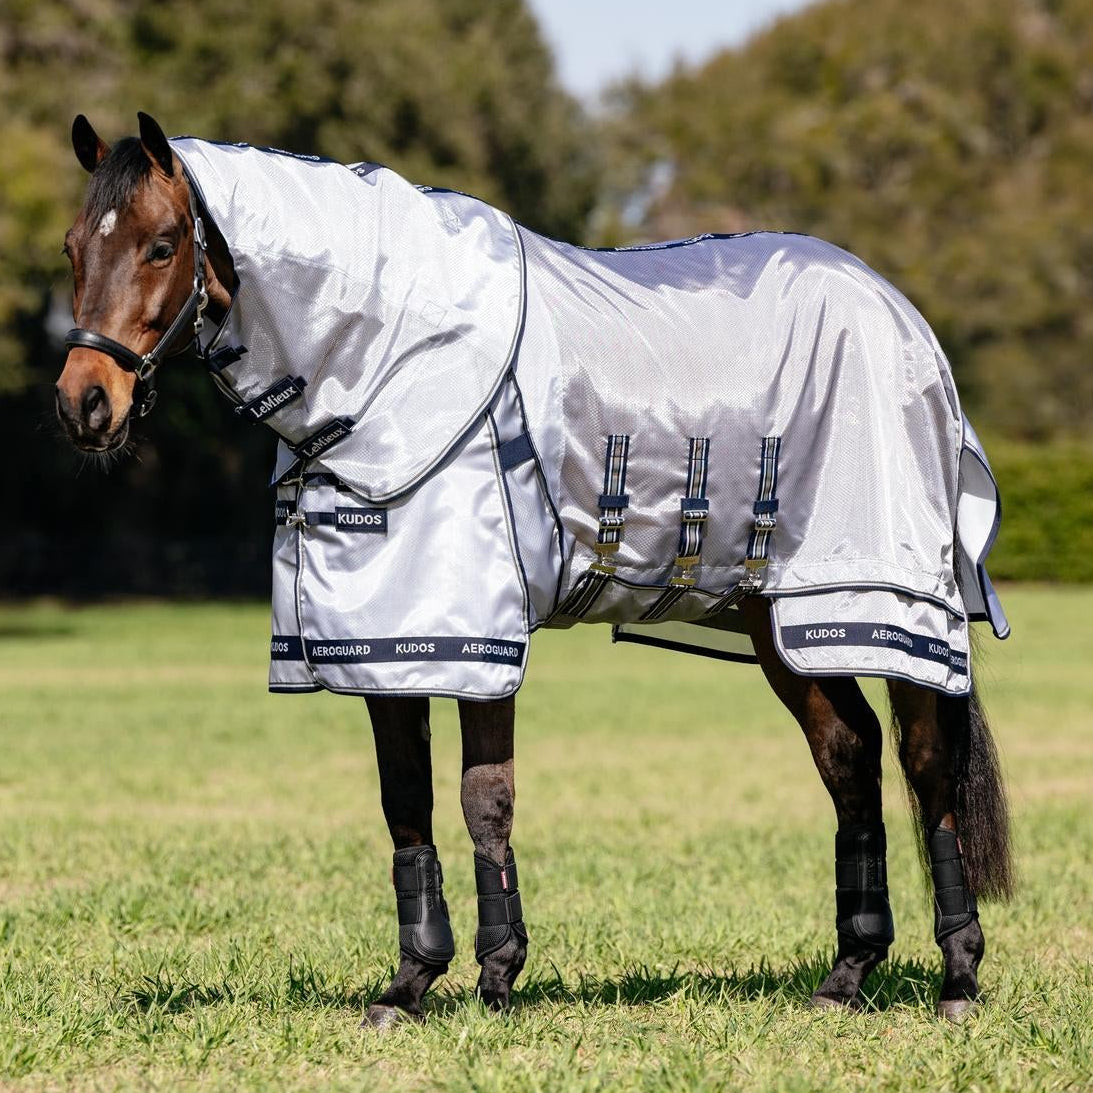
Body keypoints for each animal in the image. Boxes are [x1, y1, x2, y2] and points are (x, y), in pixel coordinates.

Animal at [55, 112, 1013, 1028]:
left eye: (162, 244)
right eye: (72, 246)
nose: (84, 404)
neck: (390, 353)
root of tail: (899, 313)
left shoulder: (474, 634)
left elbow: (484, 796)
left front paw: (492, 976)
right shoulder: (385, 639)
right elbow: (405, 799)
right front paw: (412, 982)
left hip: (883, 604)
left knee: (924, 763)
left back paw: (957, 976)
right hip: (780, 619)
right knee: (849, 757)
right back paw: (847, 973)